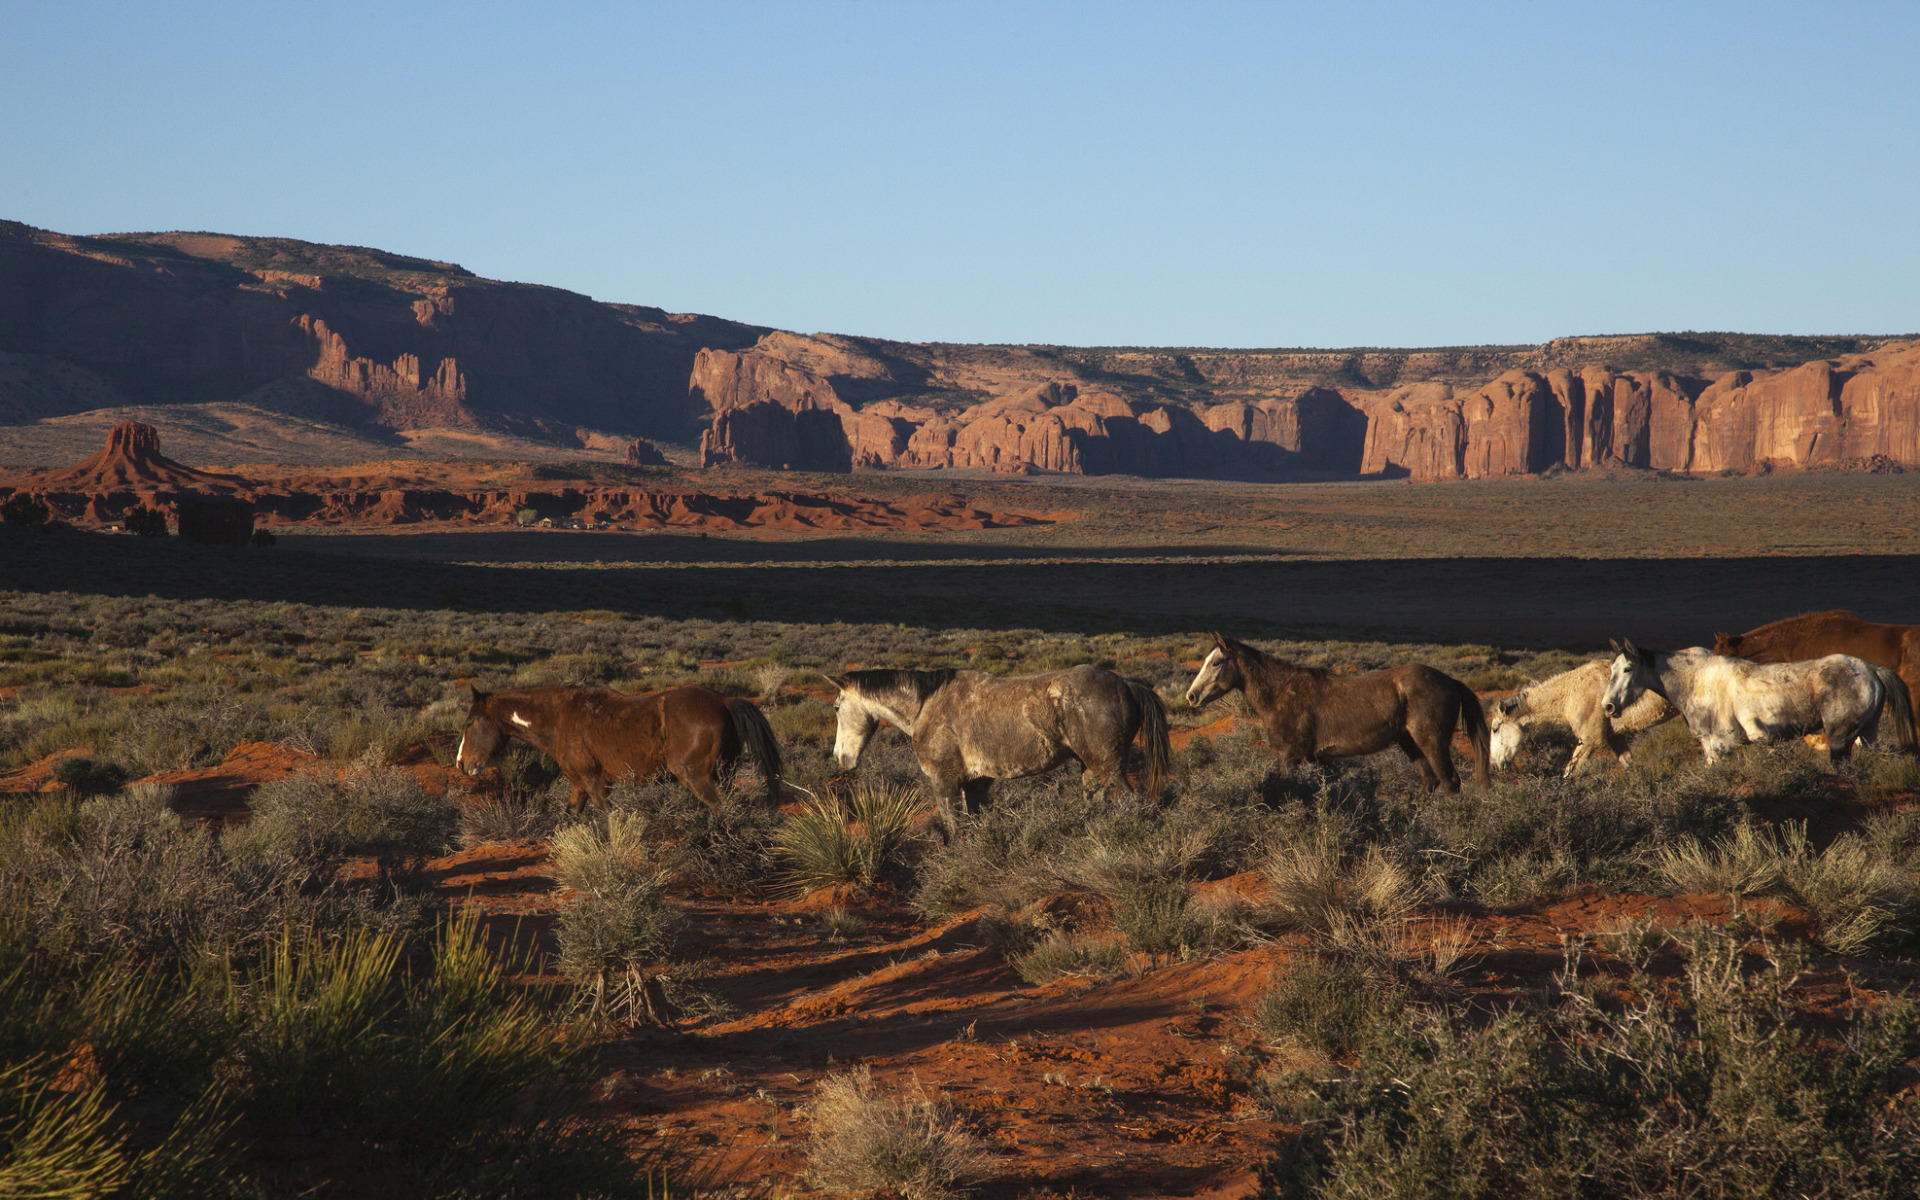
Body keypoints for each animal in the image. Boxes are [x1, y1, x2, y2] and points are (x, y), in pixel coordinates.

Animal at [455, 687, 779, 810]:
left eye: (469, 723)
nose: (461, 763)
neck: (561, 720)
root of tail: (724, 702)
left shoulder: (595, 783)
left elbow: (609, 818)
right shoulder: (579, 786)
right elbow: (570, 818)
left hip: (697, 777)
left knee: (720, 808)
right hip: (725, 774)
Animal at [837, 664, 1175, 833]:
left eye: (837, 707)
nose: (841, 758)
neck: (925, 706)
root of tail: (1126, 684)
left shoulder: (944, 782)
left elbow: (953, 827)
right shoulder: (974, 784)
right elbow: (973, 825)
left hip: (1108, 767)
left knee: (1132, 803)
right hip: (1091, 769)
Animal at [1182, 633, 1482, 791]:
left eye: (1217, 663)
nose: (1192, 696)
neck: (1281, 693)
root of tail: (1450, 681)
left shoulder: (1289, 756)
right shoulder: (1318, 758)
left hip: (1431, 742)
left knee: (1449, 781)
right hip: (1410, 744)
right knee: (1430, 782)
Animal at [1489, 656, 1674, 775]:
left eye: (1495, 729)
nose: (1494, 765)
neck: (1572, 693)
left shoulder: (1590, 740)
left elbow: (1568, 775)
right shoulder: (1615, 737)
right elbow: (1630, 767)